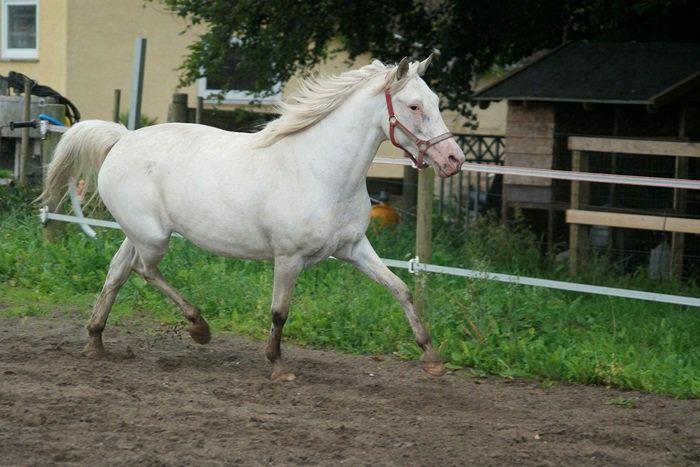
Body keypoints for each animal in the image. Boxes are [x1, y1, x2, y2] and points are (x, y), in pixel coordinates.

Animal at [39, 56, 464, 382]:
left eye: (435, 101)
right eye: (414, 106)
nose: (453, 160)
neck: (319, 170)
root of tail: (123, 139)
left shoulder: (353, 249)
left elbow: (400, 289)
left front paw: (432, 358)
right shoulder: (289, 258)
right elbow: (280, 312)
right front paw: (278, 367)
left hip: (138, 234)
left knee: (116, 272)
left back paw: (96, 341)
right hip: (154, 236)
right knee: (143, 271)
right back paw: (199, 328)